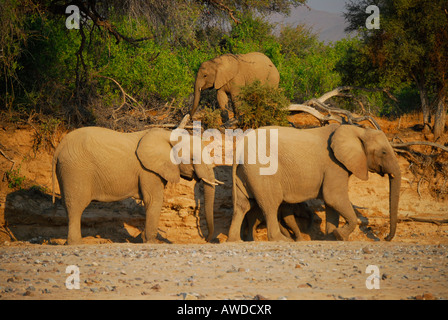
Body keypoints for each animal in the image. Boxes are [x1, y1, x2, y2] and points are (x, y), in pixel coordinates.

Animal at [51, 127, 220, 245]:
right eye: (192, 158)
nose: (205, 240)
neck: (169, 136)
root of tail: (59, 146)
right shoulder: (148, 170)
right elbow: (154, 199)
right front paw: (152, 242)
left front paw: (142, 239)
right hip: (76, 170)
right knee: (76, 205)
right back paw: (77, 244)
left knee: (68, 205)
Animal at [228, 124, 402, 242]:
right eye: (384, 152)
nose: (386, 238)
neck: (357, 130)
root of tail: (240, 148)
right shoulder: (334, 165)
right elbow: (334, 197)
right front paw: (339, 235)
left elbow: (331, 203)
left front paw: (332, 238)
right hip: (262, 170)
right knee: (270, 205)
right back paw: (281, 240)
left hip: (246, 171)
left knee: (243, 204)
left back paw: (236, 240)